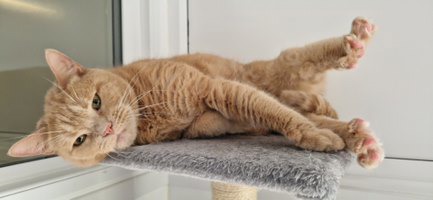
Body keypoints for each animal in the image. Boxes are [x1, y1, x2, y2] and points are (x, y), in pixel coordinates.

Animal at [8, 17, 384, 169]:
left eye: (96, 101)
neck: (149, 109)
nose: (108, 129)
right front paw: (328, 135)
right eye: (80, 140)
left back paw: (355, 42)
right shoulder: (208, 122)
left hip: (283, 68)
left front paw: (312, 137)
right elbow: (263, 116)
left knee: (303, 59)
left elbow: (277, 112)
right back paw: (361, 139)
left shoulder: (217, 88)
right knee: (319, 115)